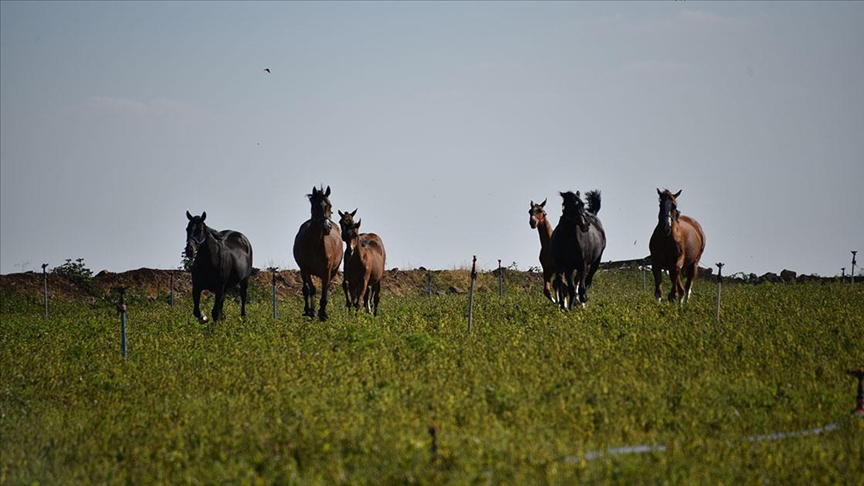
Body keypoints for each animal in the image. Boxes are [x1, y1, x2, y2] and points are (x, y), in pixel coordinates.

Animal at [292, 184, 342, 320]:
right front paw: (310, 311)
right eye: (315, 206)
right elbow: (310, 289)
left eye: (330, 205)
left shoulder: (327, 271)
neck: (315, 245)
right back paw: (309, 310)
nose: (327, 227)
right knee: (308, 289)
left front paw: (323, 313)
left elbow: (324, 289)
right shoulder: (305, 269)